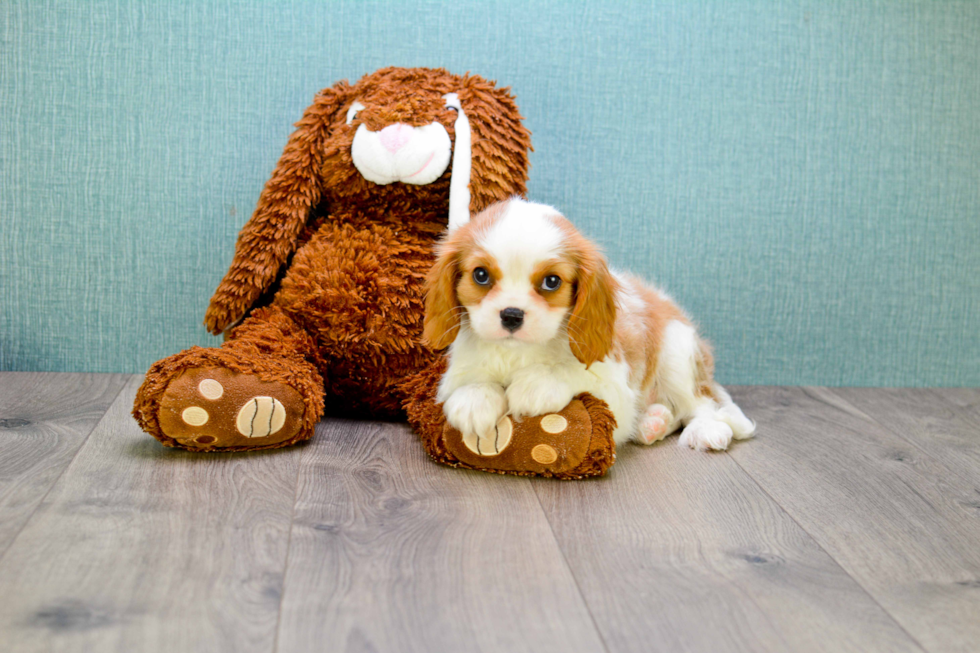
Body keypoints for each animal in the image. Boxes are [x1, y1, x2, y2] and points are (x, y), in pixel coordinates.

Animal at [424, 199, 756, 450]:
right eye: (480, 275)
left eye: (552, 281)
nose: (512, 314)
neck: (519, 353)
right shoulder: (458, 372)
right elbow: (470, 382)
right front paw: (474, 399)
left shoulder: (615, 388)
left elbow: (572, 372)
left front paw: (537, 384)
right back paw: (652, 423)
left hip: (677, 352)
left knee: (700, 403)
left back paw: (705, 429)